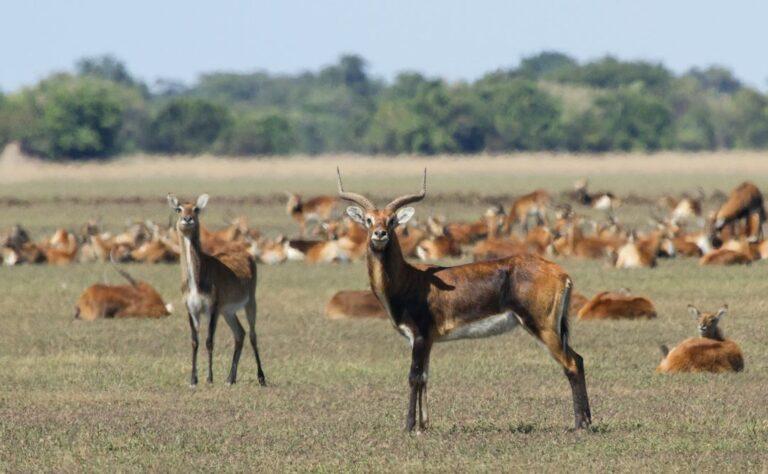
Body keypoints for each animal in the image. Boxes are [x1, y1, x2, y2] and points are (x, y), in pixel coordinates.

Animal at [168, 194, 266, 387]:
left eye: (196, 209)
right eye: (178, 209)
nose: (187, 219)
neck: (196, 279)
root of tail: (247, 254)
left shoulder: (212, 308)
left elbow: (209, 341)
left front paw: (209, 378)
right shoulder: (192, 309)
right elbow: (194, 341)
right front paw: (193, 380)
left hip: (250, 303)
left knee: (252, 335)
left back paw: (261, 378)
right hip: (228, 312)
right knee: (240, 334)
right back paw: (230, 379)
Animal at [336, 168, 591, 432]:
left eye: (392, 220)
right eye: (368, 220)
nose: (380, 234)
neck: (409, 280)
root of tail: (562, 274)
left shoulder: (419, 336)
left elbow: (413, 377)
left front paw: (409, 426)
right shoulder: (425, 341)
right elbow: (425, 377)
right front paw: (424, 426)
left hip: (543, 327)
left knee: (571, 364)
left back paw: (579, 425)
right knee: (579, 359)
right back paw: (587, 421)